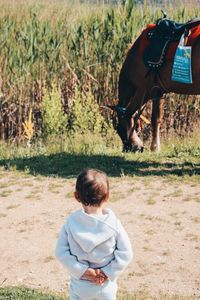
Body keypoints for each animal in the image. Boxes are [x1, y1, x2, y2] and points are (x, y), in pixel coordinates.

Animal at [111, 18, 200, 152]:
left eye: (118, 129)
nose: (132, 148)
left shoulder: (154, 89)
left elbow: (155, 118)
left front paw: (155, 146)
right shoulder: (150, 90)